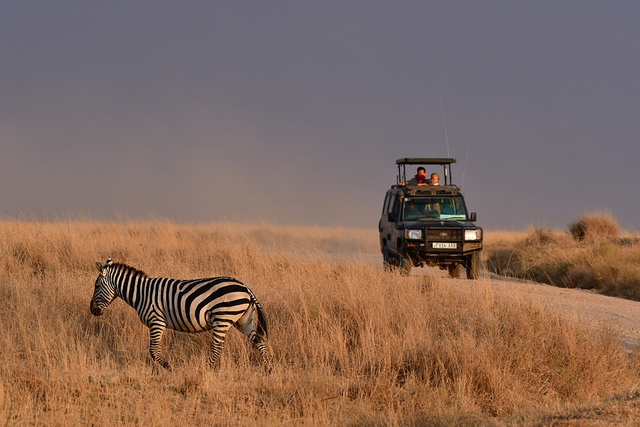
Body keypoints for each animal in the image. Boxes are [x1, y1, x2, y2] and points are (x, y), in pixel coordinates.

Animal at [89, 260, 270, 372]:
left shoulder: (156, 321)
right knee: (259, 343)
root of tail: (246, 288)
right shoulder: (157, 324)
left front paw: (168, 368)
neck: (141, 293)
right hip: (243, 320)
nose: (92, 310)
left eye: (96, 285)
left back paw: (205, 370)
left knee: (217, 348)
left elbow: (153, 350)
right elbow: (154, 350)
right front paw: (155, 372)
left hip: (222, 318)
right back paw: (268, 369)